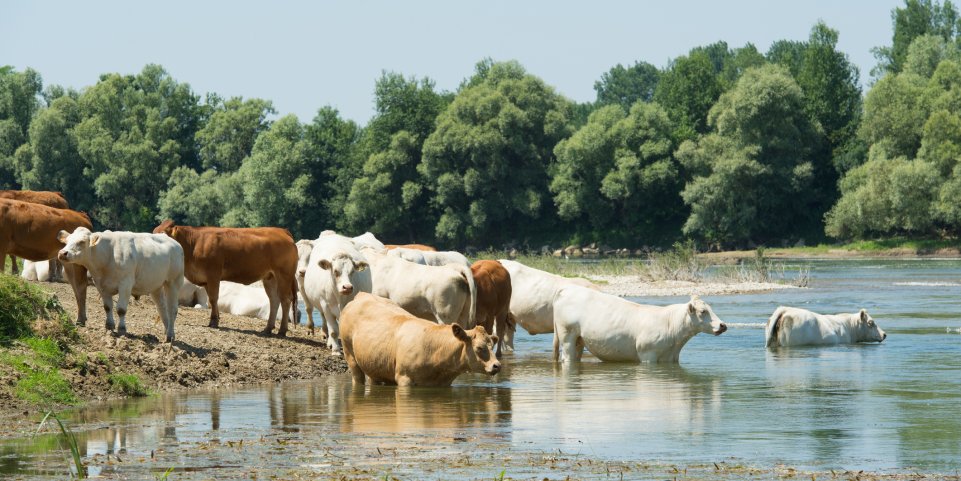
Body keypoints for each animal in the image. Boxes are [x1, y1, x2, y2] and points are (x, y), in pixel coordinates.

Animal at [153, 221, 298, 336]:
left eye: (163, 234)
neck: (193, 245)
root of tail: (282, 231)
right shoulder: (206, 279)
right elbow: (212, 300)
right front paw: (216, 319)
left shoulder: (213, 275)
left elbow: (213, 298)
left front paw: (213, 321)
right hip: (270, 277)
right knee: (274, 300)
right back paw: (268, 328)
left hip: (284, 275)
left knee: (285, 300)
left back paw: (282, 330)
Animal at [340, 292, 501, 387]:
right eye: (479, 347)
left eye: (492, 345)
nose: (497, 365)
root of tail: (362, 295)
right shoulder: (405, 380)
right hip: (350, 354)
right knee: (357, 376)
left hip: (375, 364)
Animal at [552, 287, 727, 364]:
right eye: (703, 311)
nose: (722, 325)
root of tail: (566, 289)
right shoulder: (648, 354)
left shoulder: (672, 357)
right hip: (567, 335)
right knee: (567, 356)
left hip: (579, 339)